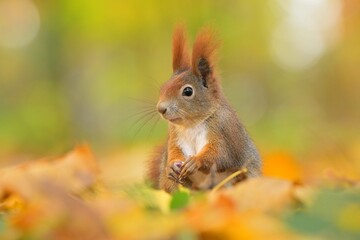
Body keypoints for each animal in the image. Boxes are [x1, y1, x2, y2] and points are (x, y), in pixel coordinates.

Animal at [146, 25, 262, 193]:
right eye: (163, 87)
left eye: (188, 91)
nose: (161, 109)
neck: (191, 124)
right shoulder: (174, 136)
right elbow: (174, 151)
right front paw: (171, 165)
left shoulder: (223, 130)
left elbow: (221, 155)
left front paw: (195, 161)